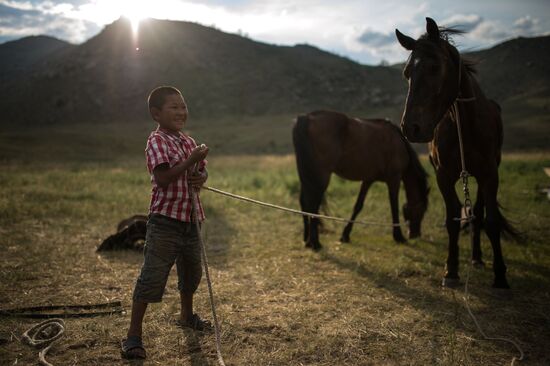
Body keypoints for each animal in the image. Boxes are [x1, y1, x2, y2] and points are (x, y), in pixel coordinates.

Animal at [294, 110, 432, 250]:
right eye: (421, 211)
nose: (415, 234)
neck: (399, 144)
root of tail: (307, 117)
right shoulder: (394, 179)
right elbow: (394, 206)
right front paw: (398, 236)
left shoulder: (368, 180)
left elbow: (358, 206)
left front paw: (345, 235)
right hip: (321, 176)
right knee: (313, 204)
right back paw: (315, 242)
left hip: (307, 175)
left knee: (304, 202)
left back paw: (307, 240)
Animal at [398, 17, 520, 288]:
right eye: (407, 73)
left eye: (435, 67)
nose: (411, 128)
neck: (465, 125)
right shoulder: (443, 176)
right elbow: (452, 219)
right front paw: (451, 270)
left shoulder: (490, 174)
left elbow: (491, 221)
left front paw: (500, 275)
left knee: (479, 212)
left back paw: (477, 258)